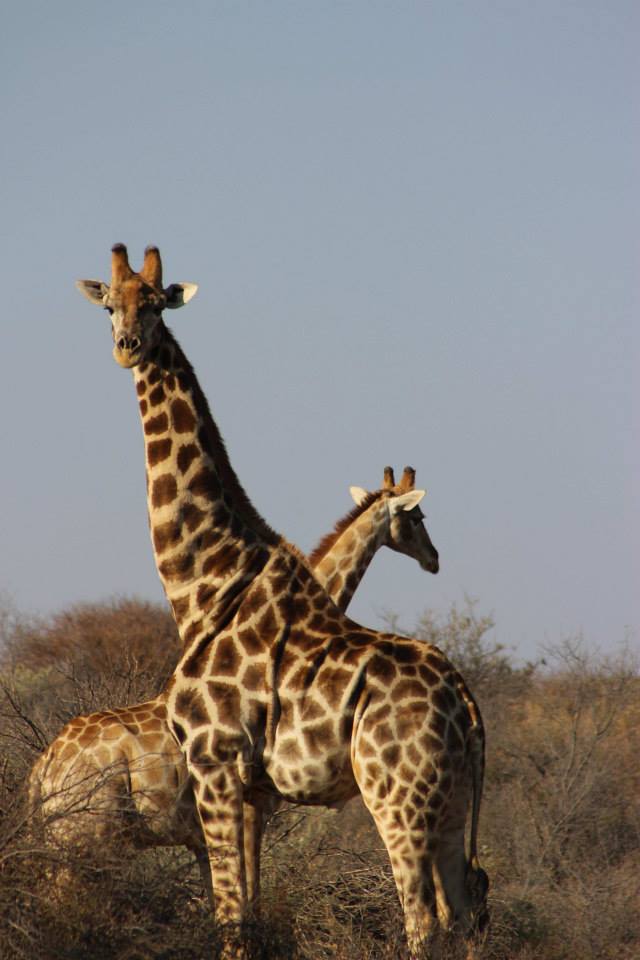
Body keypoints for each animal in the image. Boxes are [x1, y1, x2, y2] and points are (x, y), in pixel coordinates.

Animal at [76, 248, 484, 960]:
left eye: (153, 303)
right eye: (110, 306)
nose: (127, 348)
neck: (205, 584)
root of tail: (464, 699)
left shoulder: (216, 765)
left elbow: (231, 918)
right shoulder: (251, 791)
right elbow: (250, 912)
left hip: (397, 797)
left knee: (424, 921)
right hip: (450, 800)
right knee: (458, 918)